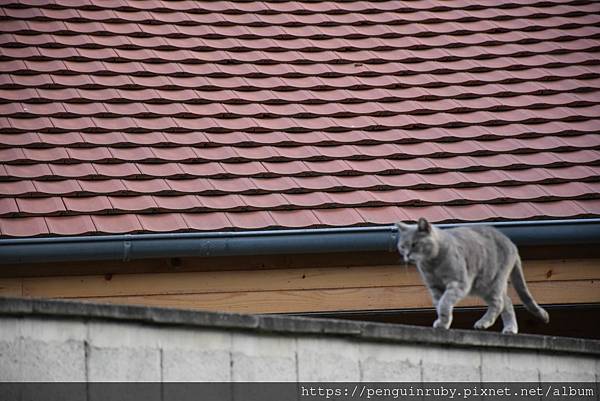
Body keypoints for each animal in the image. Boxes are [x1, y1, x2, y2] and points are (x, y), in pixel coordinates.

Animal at [394, 217, 548, 332]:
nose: (407, 255)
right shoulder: (435, 287)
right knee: (508, 302)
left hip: (490, 281)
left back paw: (483, 323)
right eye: (402, 246)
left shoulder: (459, 282)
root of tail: (511, 243)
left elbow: (444, 302)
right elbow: (439, 304)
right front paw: (443, 322)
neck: (432, 265)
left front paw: (443, 321)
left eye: (414, 244)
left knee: (499, 303)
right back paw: (510, 329)